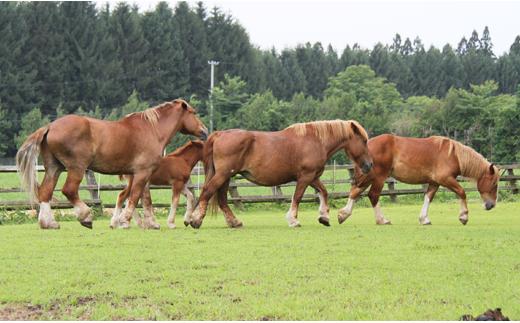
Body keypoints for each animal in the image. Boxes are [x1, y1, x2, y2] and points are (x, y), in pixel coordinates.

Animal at [16, 99, 207, 230]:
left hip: (54, 168)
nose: (204, 131)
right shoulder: (142, 173)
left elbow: (144, 199)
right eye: (193, 112)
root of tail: (50, 126)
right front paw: (124, 220)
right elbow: (135, 197)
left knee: (45, 192)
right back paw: (85, 216)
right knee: (69, 190)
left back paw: (48, 223)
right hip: (76, 168)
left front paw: (150, 223)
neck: (152, 129)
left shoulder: (141, 174)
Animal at [189, 120, 372, 229]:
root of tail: (220, 134)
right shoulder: (305, 177)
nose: (370, 165)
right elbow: (297, 197)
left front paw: (324, 217)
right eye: (364, 141)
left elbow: (324, 192)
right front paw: (293, 220)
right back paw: (196, 220)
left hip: (226, 176)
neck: (316, 140)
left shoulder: (313, 177)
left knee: (221, 198)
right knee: (208, 191)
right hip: (223, 174)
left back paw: (234, 222)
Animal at [338, 135, 500, 227]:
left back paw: (343, 214)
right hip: (378, 177)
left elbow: (428, 198)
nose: (491, 205)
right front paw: (464, 216)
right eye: (494, 184)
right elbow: (462, 192)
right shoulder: (446, 179)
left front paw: (424, 219)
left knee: (355, 191)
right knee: (373, 195)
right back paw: (382, 220)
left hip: (368, 177)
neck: (453, 155)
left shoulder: (435, 182)